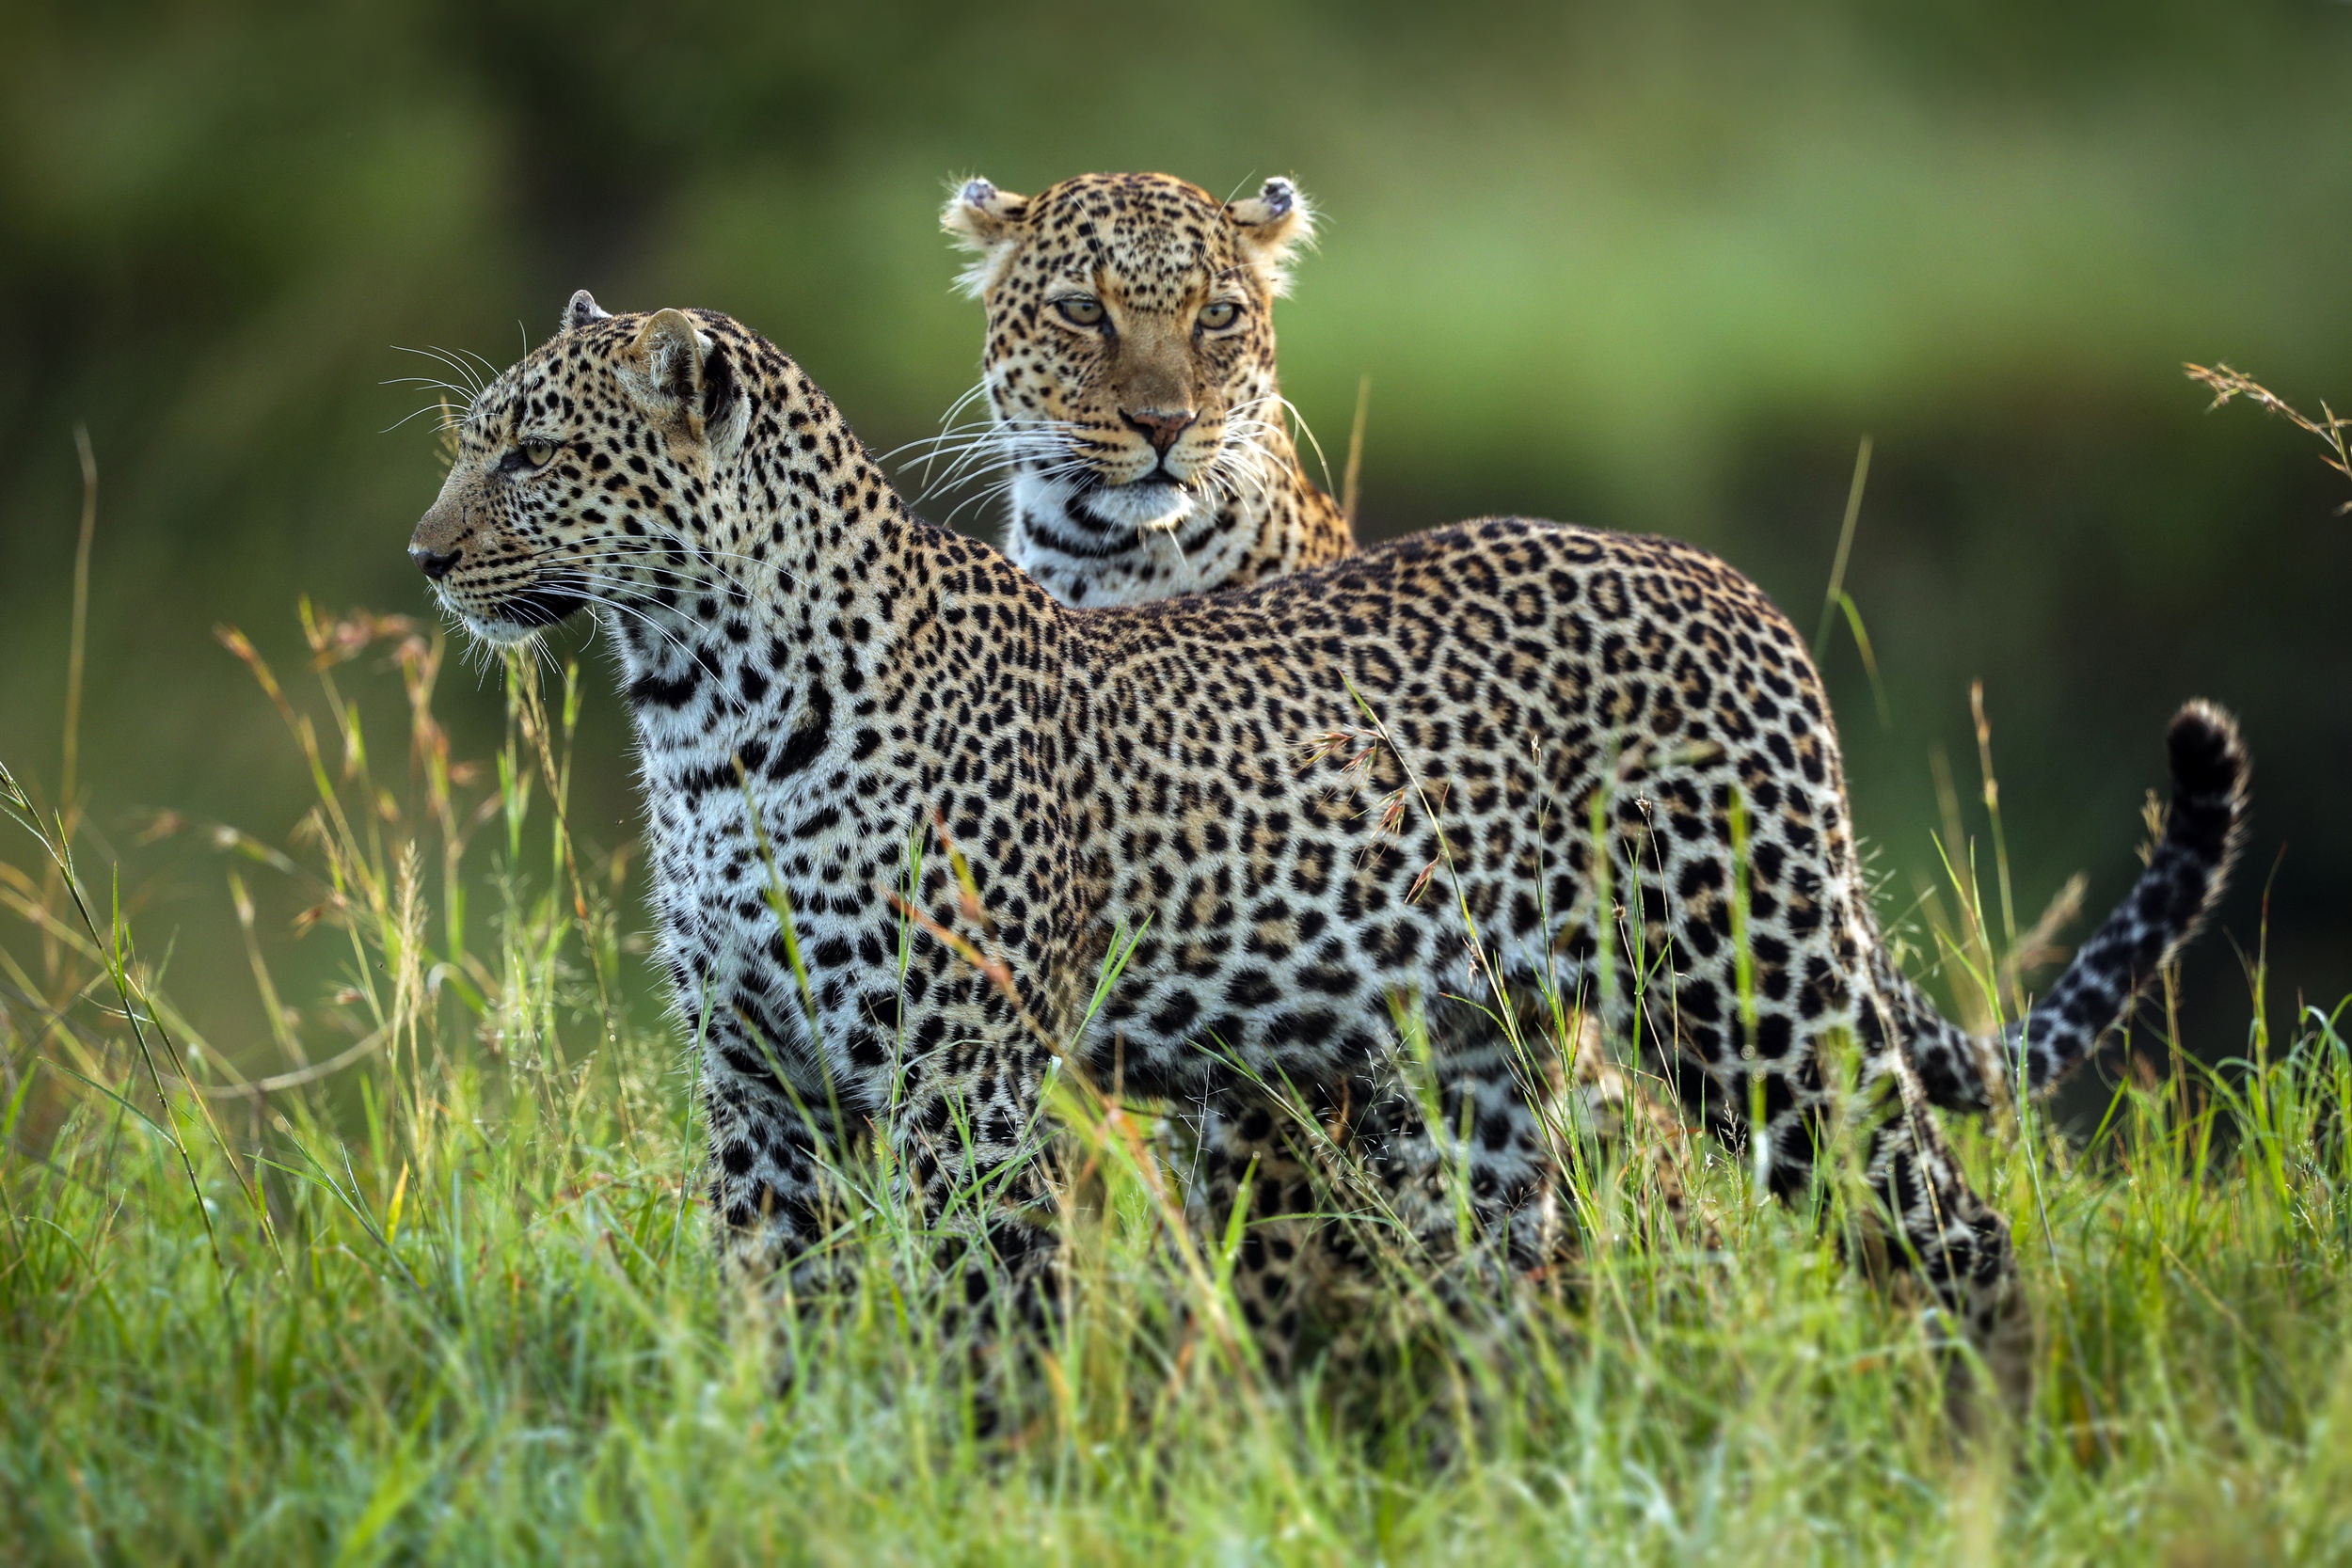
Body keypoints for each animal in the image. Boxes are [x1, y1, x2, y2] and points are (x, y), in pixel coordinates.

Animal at [409, 293, 2258, 1401]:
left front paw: (986, 1483)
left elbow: (996, 1329)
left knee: (1956, 1231)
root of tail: (1736, 586)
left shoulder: (962, 1079)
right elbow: (770, 1311)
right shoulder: (759, 1080)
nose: (424, 555)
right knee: (1516, 1287)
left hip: (1761, 1002)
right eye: (470, 440)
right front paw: (787, 1451)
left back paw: (1990, 1455)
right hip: (1491, 1065)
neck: (698, 712)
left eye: (537, 452)